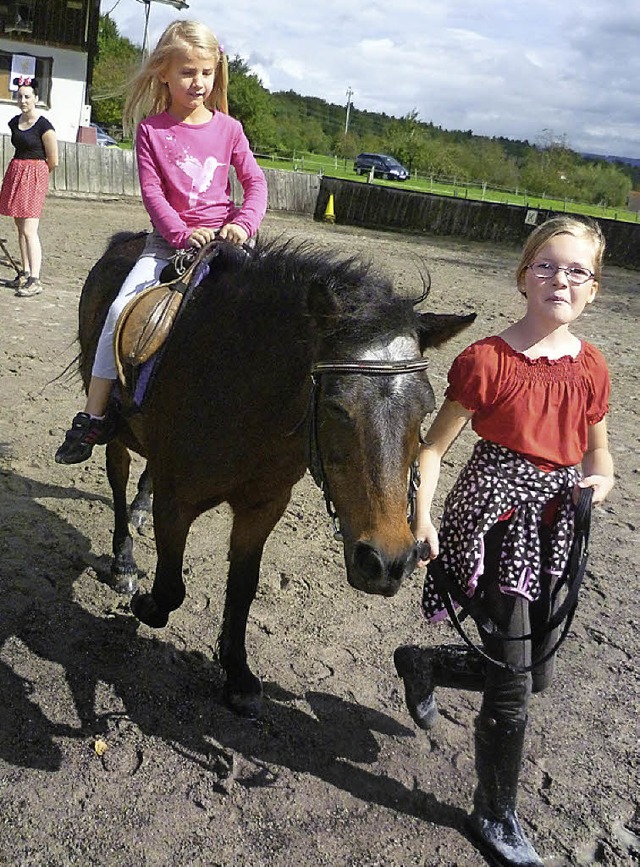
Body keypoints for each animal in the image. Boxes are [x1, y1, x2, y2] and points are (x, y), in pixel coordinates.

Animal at [76, 232, 476, 720]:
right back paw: (123, 561)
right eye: (336, 406)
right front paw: (144, 600)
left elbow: (243, 588)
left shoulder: (264, 506)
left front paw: (237, 675)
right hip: (113, 425)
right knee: (117, 475)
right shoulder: (177, 502)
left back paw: (138, 511)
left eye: (426, 410)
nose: (388, 562)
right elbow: (170, 589)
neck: (239, 385)